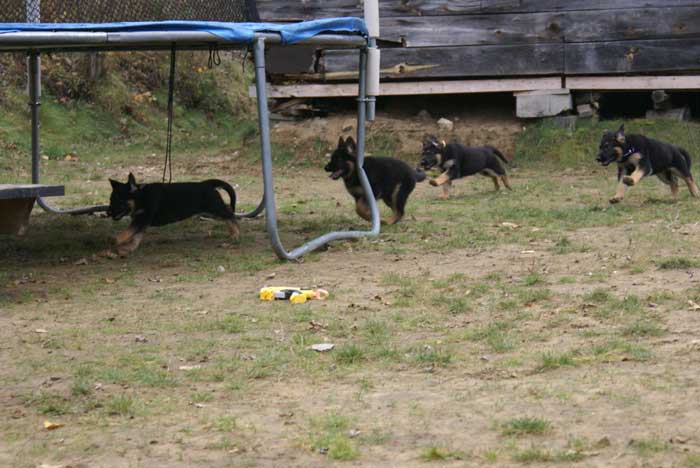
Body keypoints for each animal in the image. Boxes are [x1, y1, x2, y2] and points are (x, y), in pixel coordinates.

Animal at [107, 173, 241, 256]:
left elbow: (128, 232)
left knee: (229, 213)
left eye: (118, 201)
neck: (141, 196)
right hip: (211, 211)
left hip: (213, 207)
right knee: (228, 211)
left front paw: (115, 240)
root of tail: (207, 183)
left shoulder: (142, 219)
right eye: (110, 200)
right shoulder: (142, 221)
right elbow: (136, 236)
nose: (108, 213)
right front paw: (130, 248)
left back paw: (236, 233)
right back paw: (232, 232)